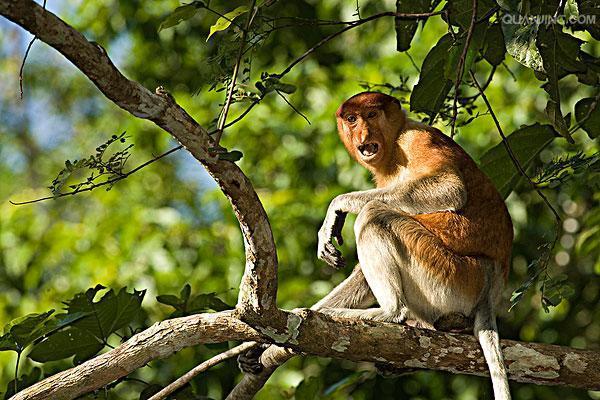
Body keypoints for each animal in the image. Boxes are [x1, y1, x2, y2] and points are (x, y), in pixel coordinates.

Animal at [237, 91, 512, 400]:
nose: (363, 135)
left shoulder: (417, 140)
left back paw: (387, 313)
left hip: (451, 274)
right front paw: (256, 347)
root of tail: (492, 284)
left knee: (374, 214)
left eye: (371, 115)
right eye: (351, 119)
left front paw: (338, 207)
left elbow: (450, 187)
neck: (393, 150)